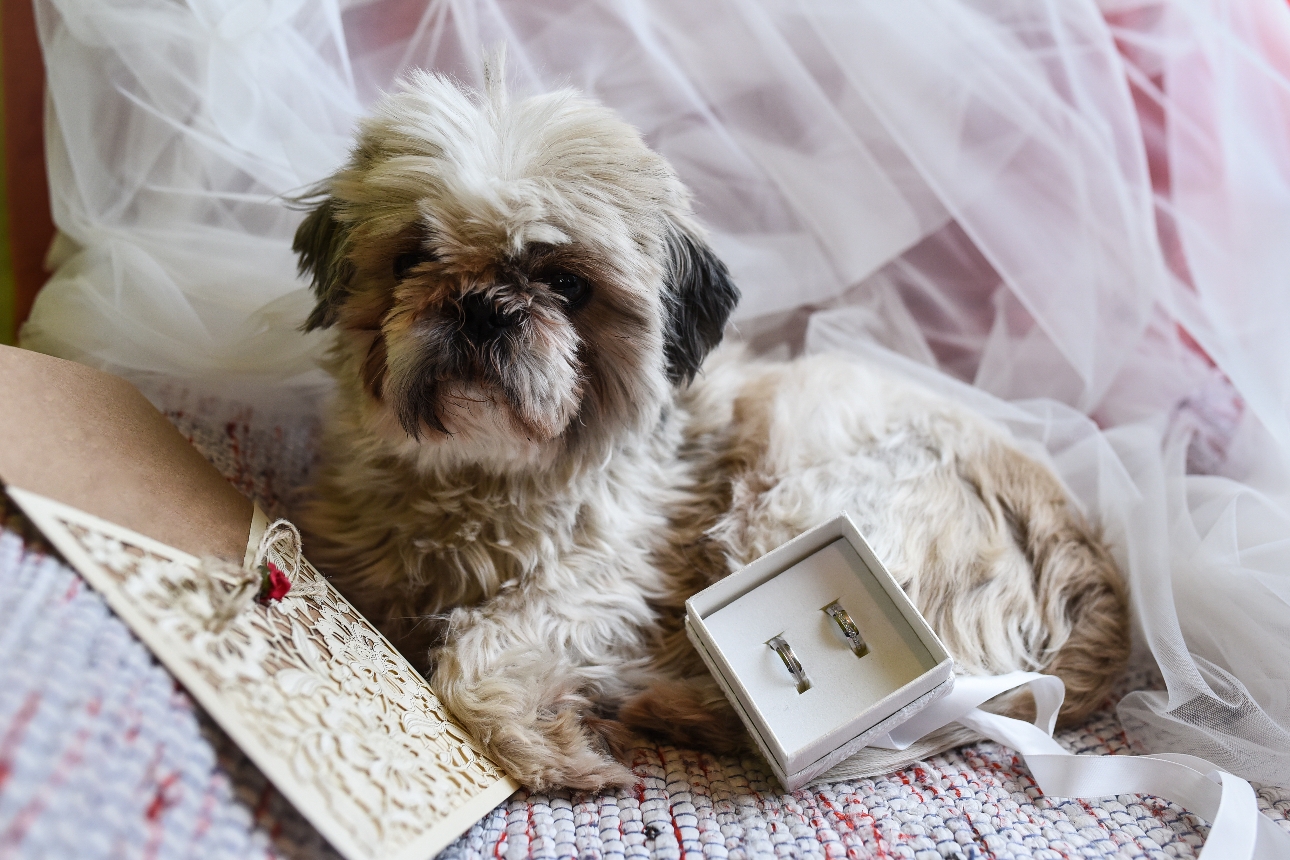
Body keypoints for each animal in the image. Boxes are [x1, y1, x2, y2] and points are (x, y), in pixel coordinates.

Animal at [295, 70, 1130, 789]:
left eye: (566, 284)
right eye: (413, 257)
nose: (481, 306)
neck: (482, 472)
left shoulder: (598, 587)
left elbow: (473, 650)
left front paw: (552, 752)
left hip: (791, 505)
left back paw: (661, 705)